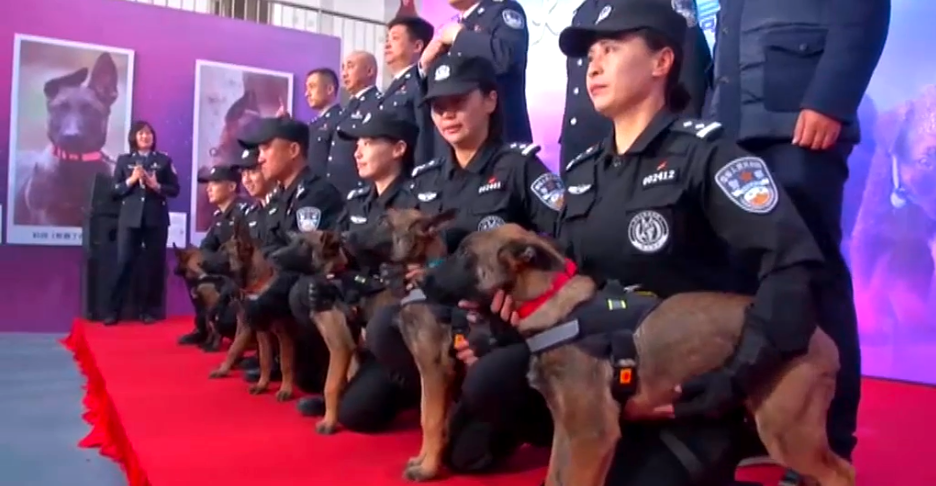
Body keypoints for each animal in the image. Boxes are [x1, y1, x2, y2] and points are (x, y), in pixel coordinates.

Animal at [207, 221, 296, 402]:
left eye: (224, 251)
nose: (200, 262)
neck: (258, 286)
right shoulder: (259, 331)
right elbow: (260, 358)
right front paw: (262, 384)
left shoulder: (284, 335)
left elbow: (286, 363)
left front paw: (286, 389)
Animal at [348, 209, 464, 482]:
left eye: (383, 221)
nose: (345, 234)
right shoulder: (432, 374)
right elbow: (427, 414)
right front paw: (425, 459)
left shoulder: (436, 370)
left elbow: (431, 420)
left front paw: (428, 469)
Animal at [424, 226, 856, 486]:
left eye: (464, 256)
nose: (421, 279)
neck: (557, 307)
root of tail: (821, 336)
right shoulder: (568, 428)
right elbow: (555, 477)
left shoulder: (590, 434)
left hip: (787, 430)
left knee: (842, 473)